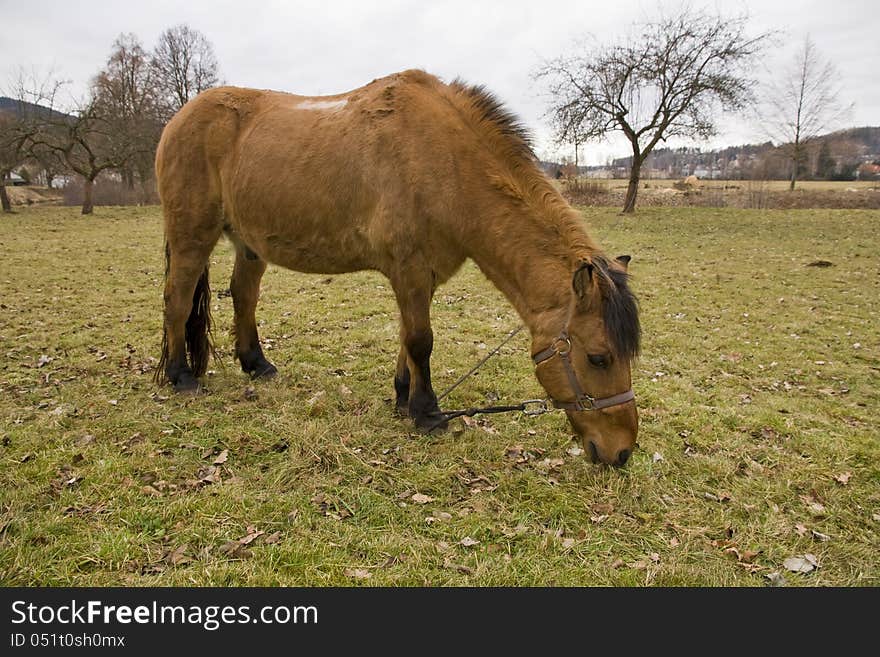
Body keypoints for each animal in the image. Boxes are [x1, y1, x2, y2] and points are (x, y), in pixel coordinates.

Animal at [156, 69, 640, 464]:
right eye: (598, 357)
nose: (621, 453)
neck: (443, 163)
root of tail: (179, 119)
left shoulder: (422, 277)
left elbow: (408, 339)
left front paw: (404, 396)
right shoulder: (409, 270)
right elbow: (421, 341)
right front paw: (427, 413)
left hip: (250, 245)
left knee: (244, 296)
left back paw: (256, 364)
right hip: (191, 236)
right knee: (177, 300)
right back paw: (181, 376)